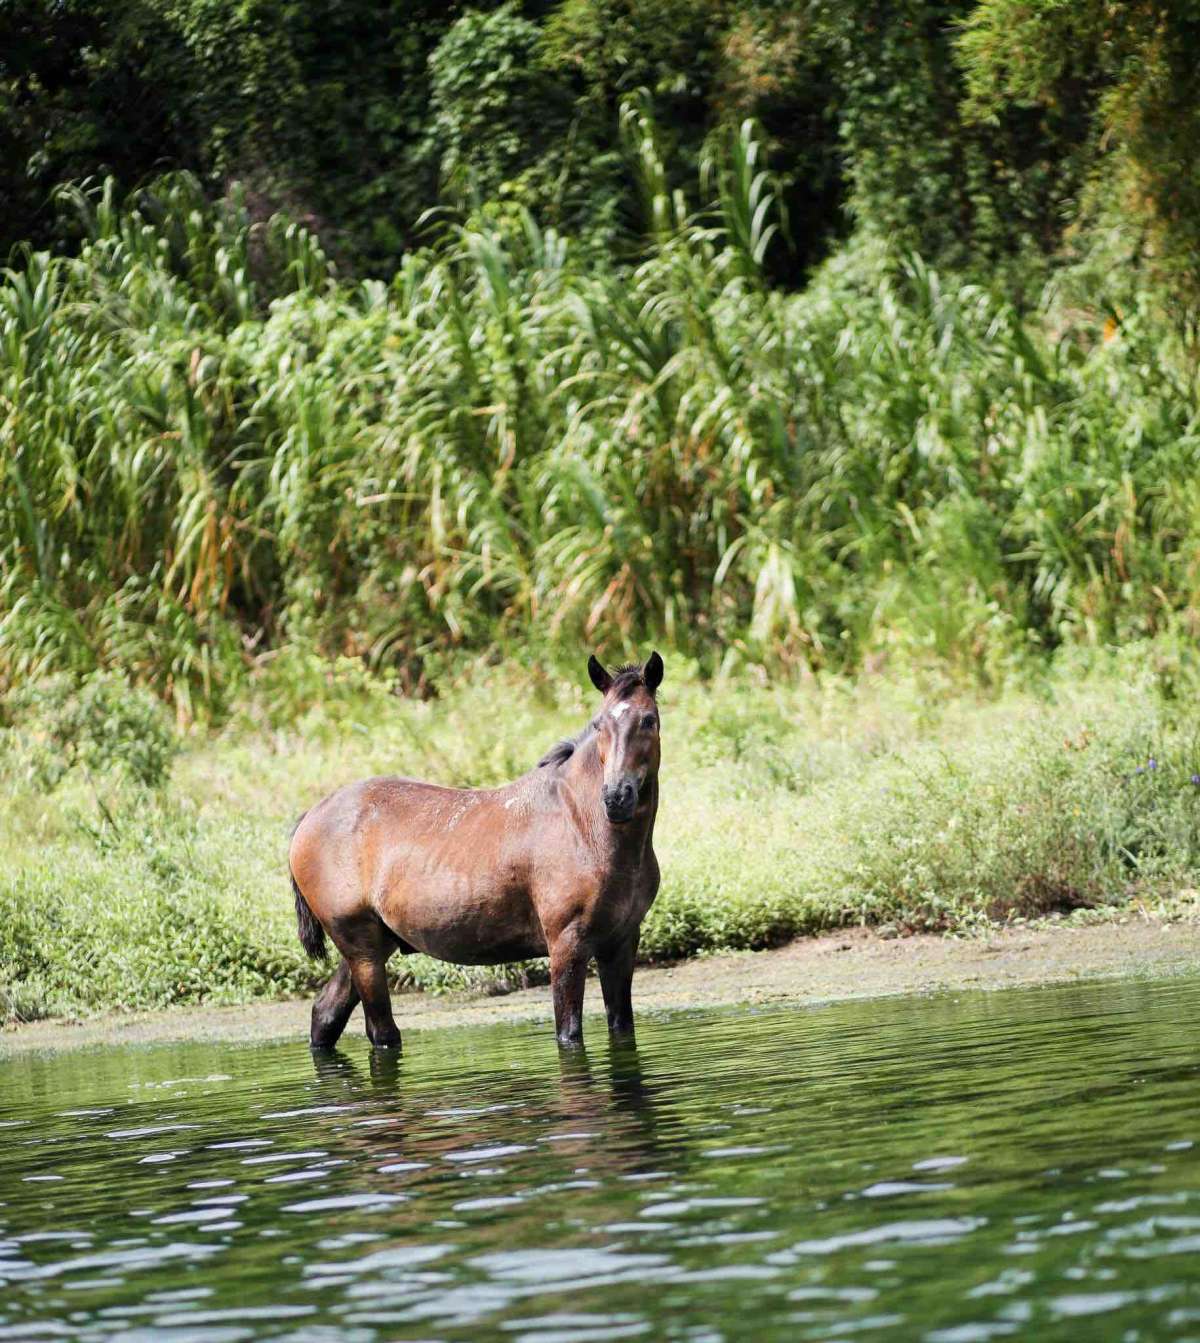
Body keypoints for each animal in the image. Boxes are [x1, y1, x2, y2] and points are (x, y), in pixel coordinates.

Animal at [291, 650, 665, 1047]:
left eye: (648, 720)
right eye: (598, 725)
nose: (617, 798)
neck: (585, 826)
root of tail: (310, 817)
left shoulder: (620, 943)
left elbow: (621, 1027)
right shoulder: (566, 946)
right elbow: (569, 1033)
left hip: (373, 944)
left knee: (326, 1013)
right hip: (360, 948)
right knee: (381, 1031)